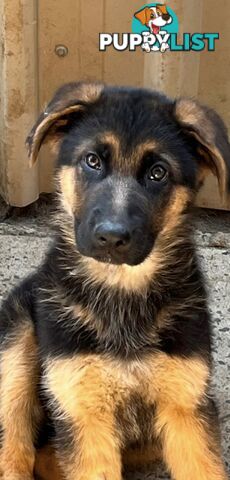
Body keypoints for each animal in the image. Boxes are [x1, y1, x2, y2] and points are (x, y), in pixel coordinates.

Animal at [0, 83, 230, 480]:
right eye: (92, 161)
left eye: (158, 173)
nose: (111, 237)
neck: (122, 289)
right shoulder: (84, 410)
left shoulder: (186, 407)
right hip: (16, 341)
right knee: (16, 447)